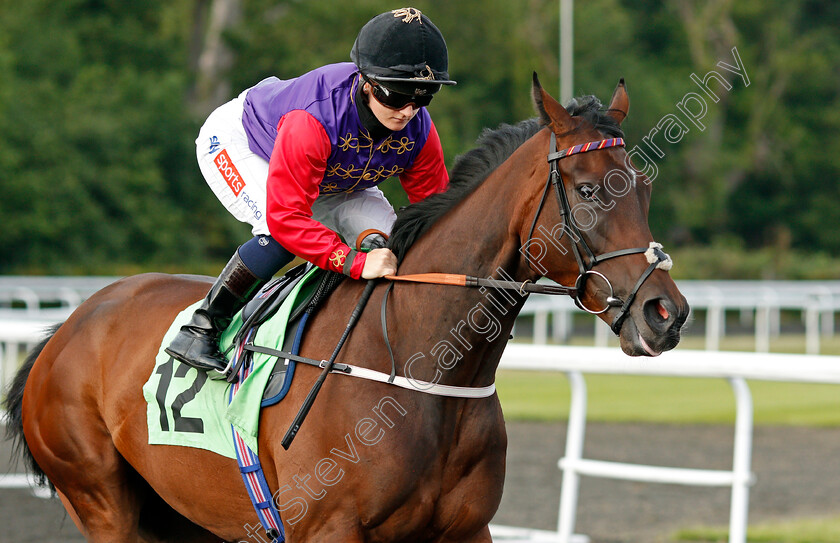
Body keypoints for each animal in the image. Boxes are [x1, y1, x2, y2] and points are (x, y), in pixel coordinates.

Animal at [4, 77, 688, 543]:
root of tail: (67, 326)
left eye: (645, 185)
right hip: (103, 502)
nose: (666, 313)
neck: (418, 365)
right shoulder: (328, 528)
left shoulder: (467, 529)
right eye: (589, 189)